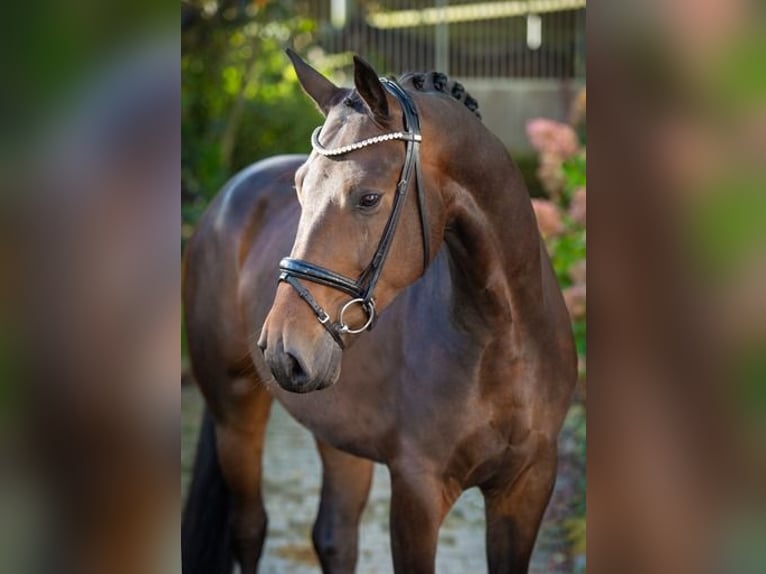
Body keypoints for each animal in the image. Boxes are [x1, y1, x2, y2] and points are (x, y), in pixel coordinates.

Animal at [180, 50, 576, 574]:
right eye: (300, 188)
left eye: (368, 197)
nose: (283, 348)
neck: (504, 339)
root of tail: (228, 196)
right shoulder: (418, 489)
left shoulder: (528, 486)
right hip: (235, 413)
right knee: (249, 528)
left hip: (335, 427)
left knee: (334, 537)